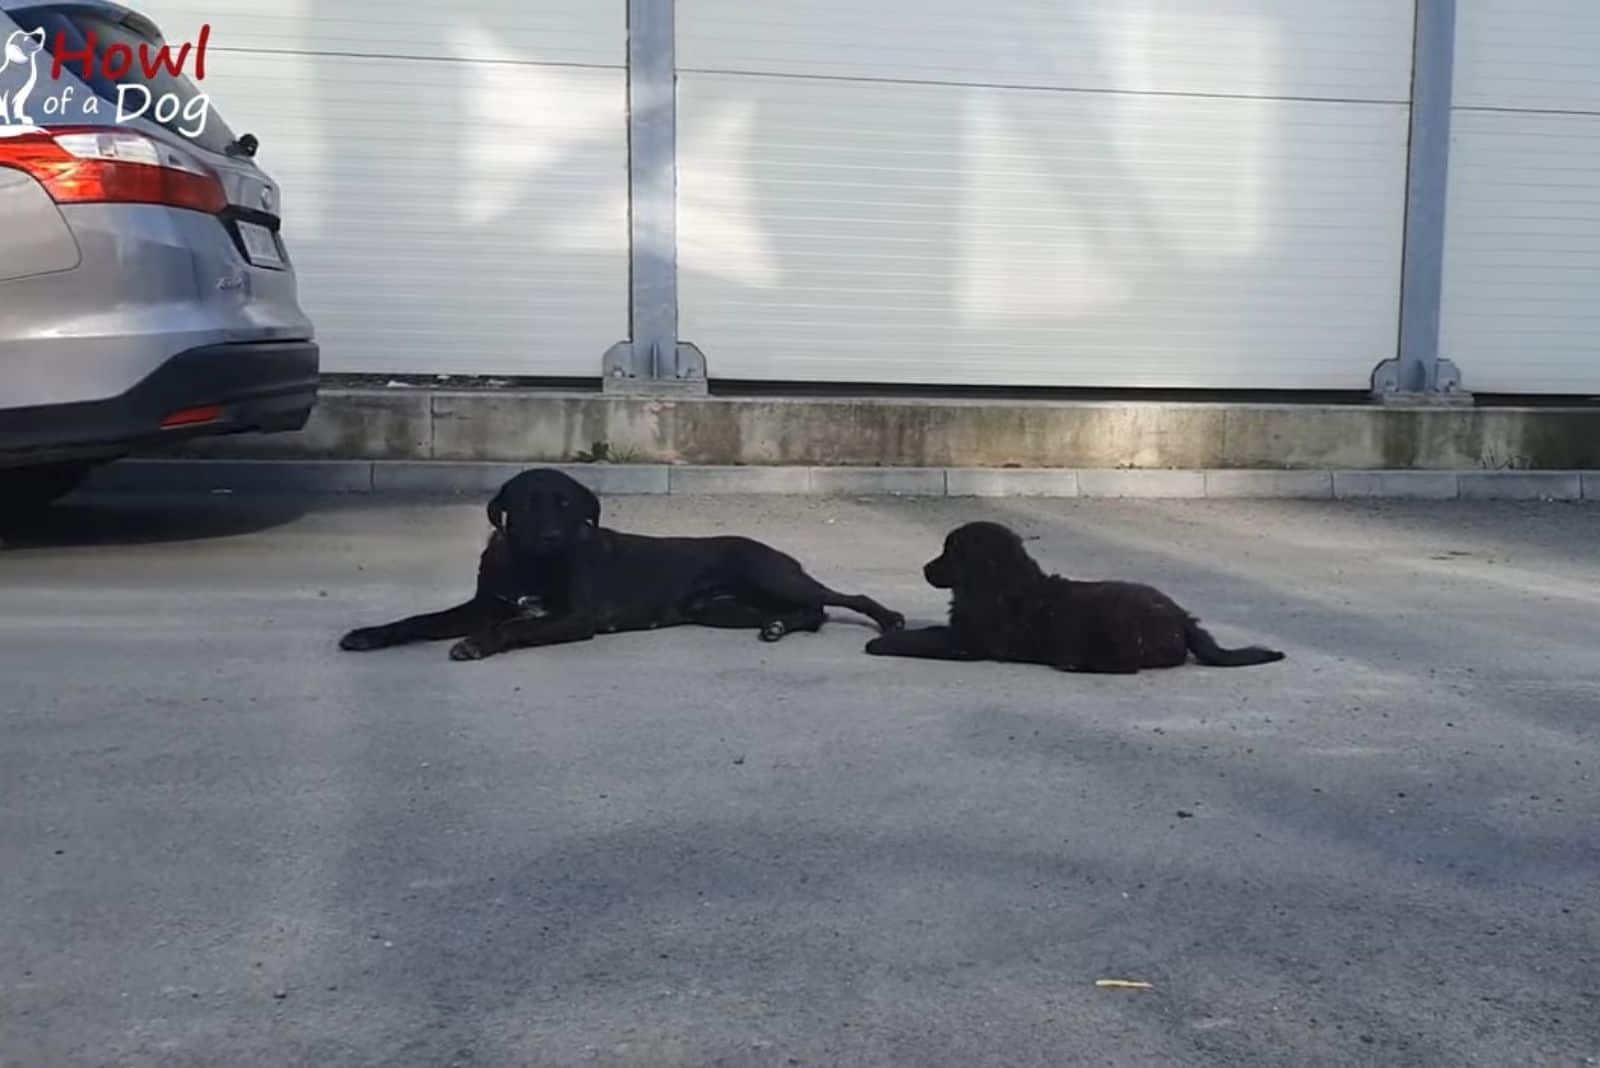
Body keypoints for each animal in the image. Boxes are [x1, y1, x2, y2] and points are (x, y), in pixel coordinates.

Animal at [339, 466, 908, 658]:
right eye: (528, 503)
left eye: (567, 504)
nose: (552, 537)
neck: (531, 564)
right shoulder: (483, 604)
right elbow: (419, 618)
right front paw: (370, 633)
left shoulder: (575, 619)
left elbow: (516, 627)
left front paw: (478, 644)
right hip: (720, 609)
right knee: (808, 614)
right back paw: (776, 628)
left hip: (771, 575)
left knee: (839, 599)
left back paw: (890, 619)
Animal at [864, 518, 1286, 674]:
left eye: (951, 552)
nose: (924, 569)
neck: (996, 583)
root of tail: (1181, 616)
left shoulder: (966, 642)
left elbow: (921, 640)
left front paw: (880, 643)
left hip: (1117, 621)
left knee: (1126, 665)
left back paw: (1075, 663)